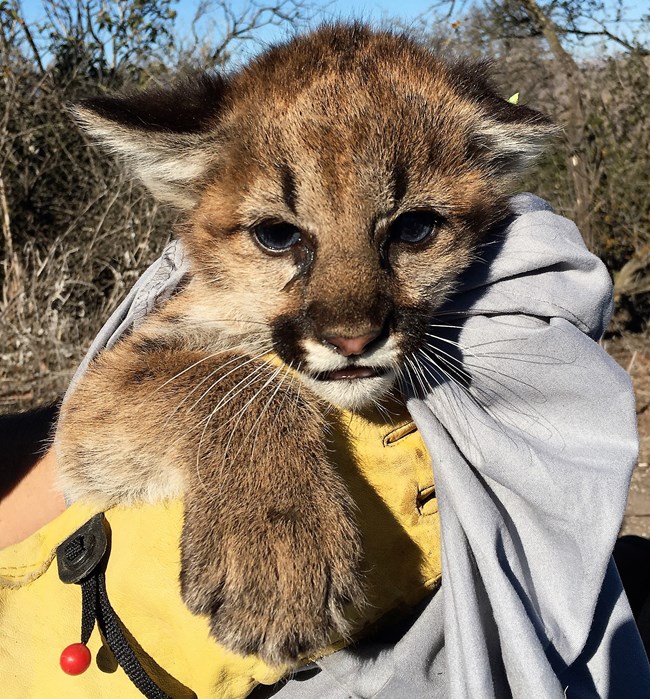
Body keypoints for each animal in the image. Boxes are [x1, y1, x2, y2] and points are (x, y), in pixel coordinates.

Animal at [55, 21, 556, 668]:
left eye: (414, 228)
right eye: (277, 235)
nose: (353, 338)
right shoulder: (97, 394)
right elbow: (227, 375)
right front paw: (278, 547)